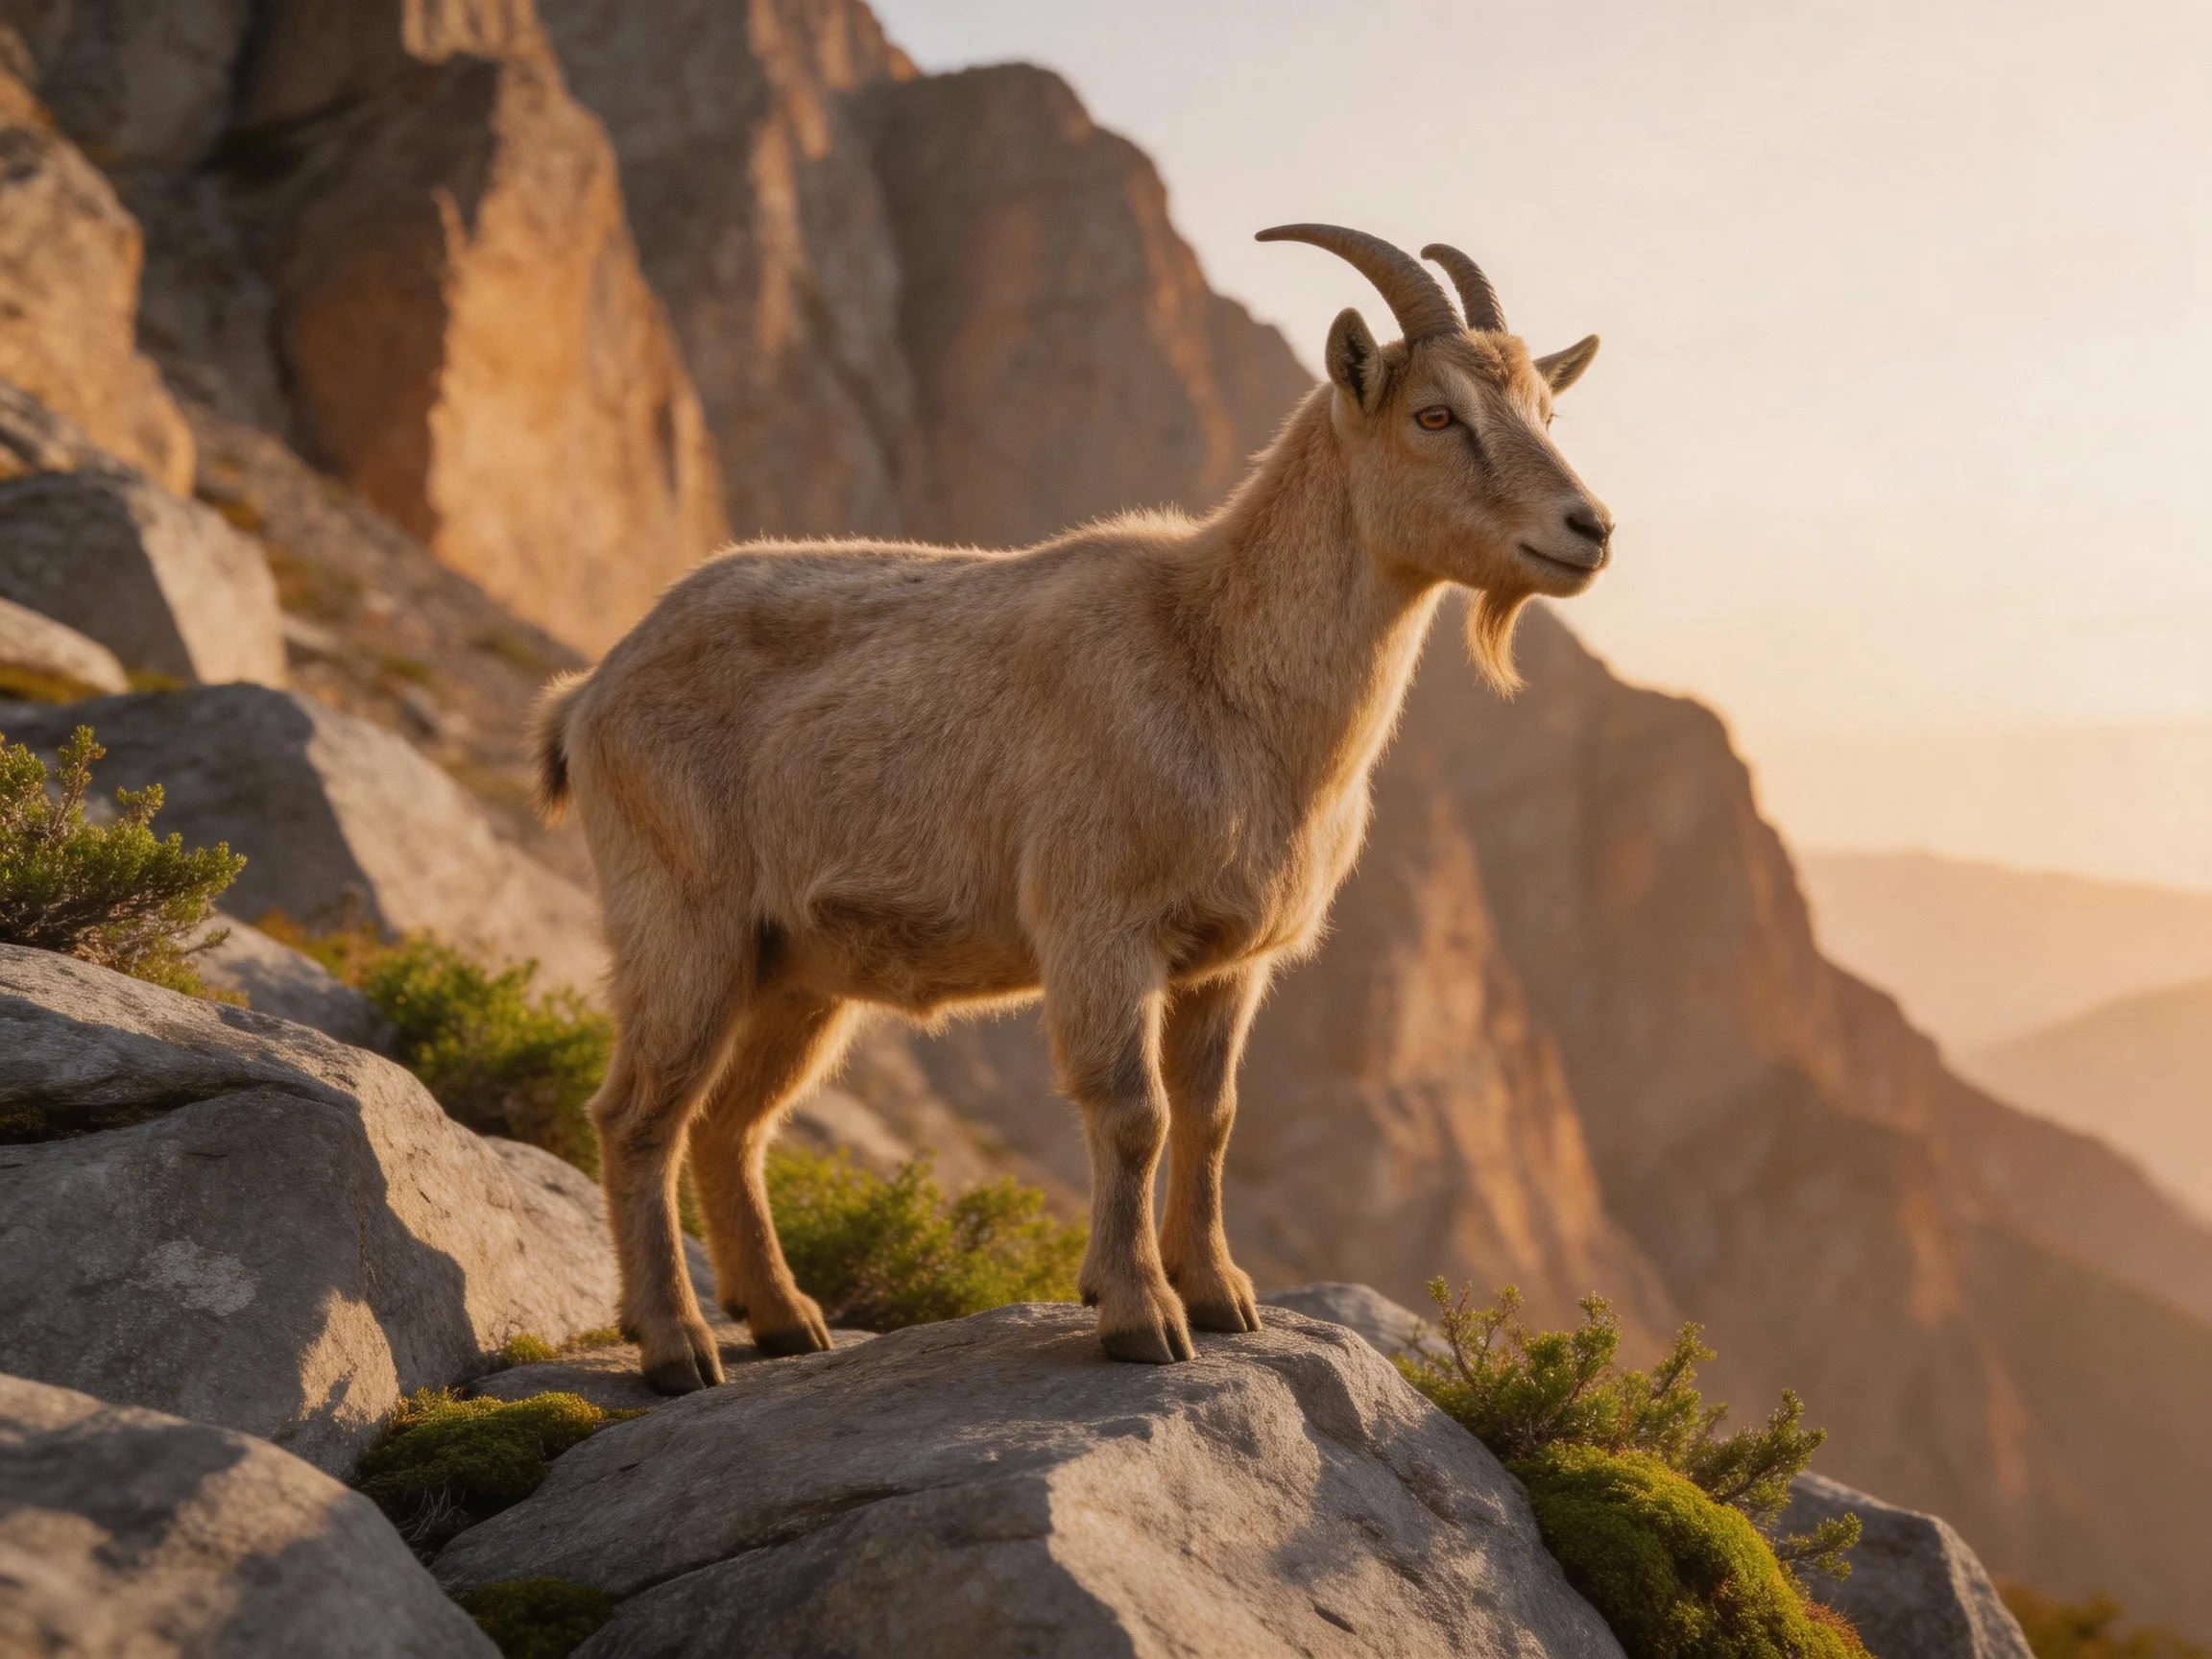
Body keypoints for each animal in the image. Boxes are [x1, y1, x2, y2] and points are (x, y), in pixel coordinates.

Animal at [536, 225, 1613, 1392]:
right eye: (1435, 414)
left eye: (1546, 412)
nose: (1589, 528)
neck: (1220, 663)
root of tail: (591, 692)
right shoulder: (1102, 928)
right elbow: (1133, 1113)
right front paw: (1141, 1316)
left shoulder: (1228, 961)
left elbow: (1212, 1117)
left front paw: (1222, 1296)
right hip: (683, 922)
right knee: (638, 1114)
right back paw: (677, 1344)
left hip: (796, 969)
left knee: (732, 1123)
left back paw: (785, 1320)